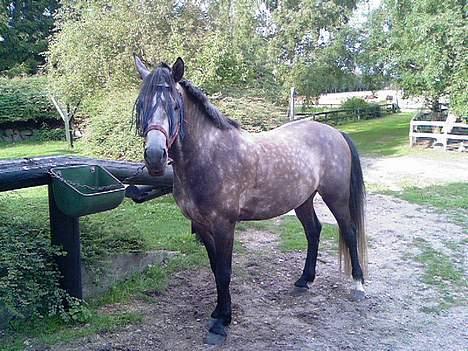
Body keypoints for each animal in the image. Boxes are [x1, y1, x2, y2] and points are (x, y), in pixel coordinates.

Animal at [133, 56, 368, 346]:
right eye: (141, 105)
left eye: (175, 106)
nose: (155, 156)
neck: (209, 155)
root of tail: (335, 133)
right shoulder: (203, 226)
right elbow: (215, 269)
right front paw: (218, 311)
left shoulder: (224, 225)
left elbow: (224, 272)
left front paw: (221, 324)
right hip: (303, 200)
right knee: (314, 231)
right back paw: (304, 280)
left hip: (336, 197)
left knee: (349, 231)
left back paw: (358, 285)